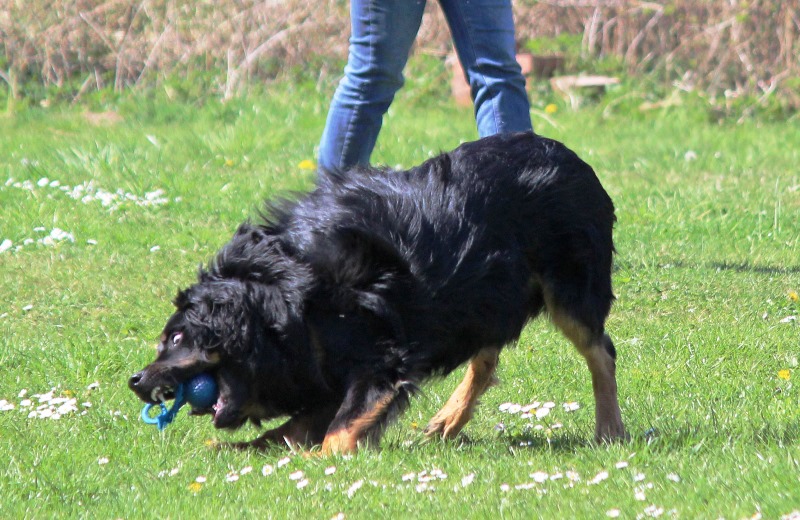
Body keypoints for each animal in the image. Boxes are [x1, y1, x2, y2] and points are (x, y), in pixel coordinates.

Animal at [129, 131, 626, 454]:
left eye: (176, 339)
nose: (135, 381)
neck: (282, 299)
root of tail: (571, 157)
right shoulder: (323, 370)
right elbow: (291, 428)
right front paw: (240, 448)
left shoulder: (381, 362)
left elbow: (338, 432)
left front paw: (321, 458)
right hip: (483, 297)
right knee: (486, 359)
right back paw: (449, 420)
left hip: (567, 289)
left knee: (601, 351)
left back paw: (609, 429)